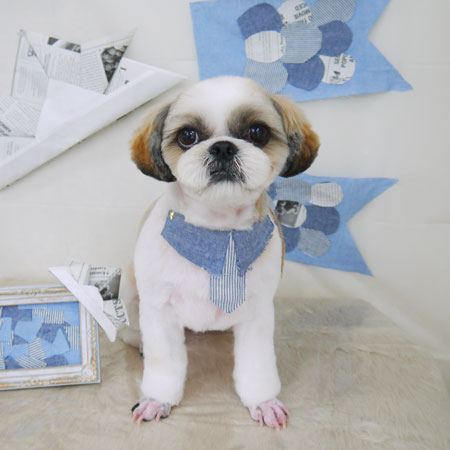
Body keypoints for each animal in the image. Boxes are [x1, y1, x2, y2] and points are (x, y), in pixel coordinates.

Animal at [119, 76, 319, 429]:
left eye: (257, 132)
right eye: (188, 136)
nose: (223, 147)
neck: (218, 235)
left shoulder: (257, 312)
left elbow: (257, 365)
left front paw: (263, 402)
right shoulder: (159, 308)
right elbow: (163, 363)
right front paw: (157, 400)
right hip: (130, 289)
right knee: (131, 331)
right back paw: (139, 340)